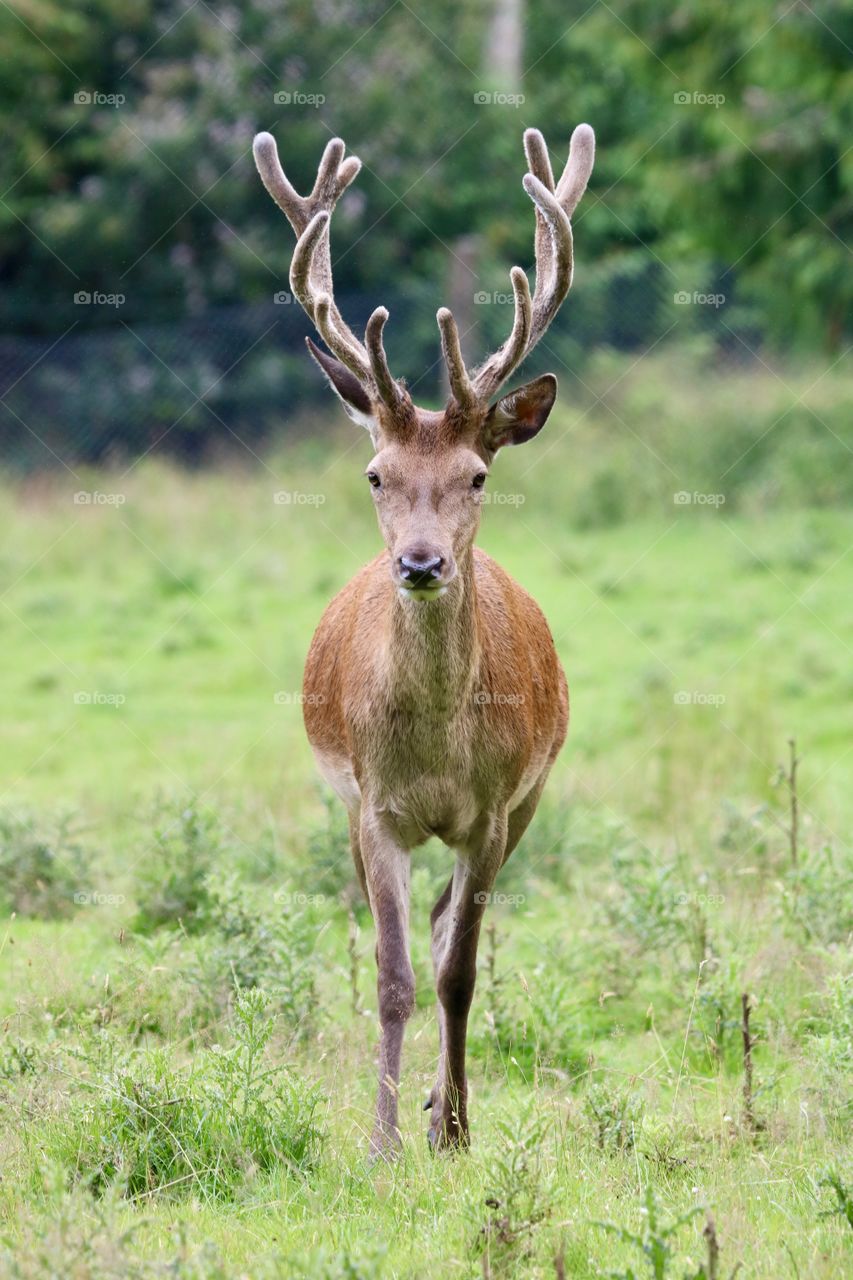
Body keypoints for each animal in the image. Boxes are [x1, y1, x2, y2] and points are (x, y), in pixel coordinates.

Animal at [253, 119, 595, 1157]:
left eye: (477, 475)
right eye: (376, 473)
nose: (418, 562)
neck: (439, 750)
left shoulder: (491, 811)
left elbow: (456, 971)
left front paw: (453, 1129)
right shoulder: (372, 807)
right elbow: (393, 974)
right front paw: (381, 1139)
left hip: (531, 800)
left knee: (451, 928)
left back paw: (448, 1107)